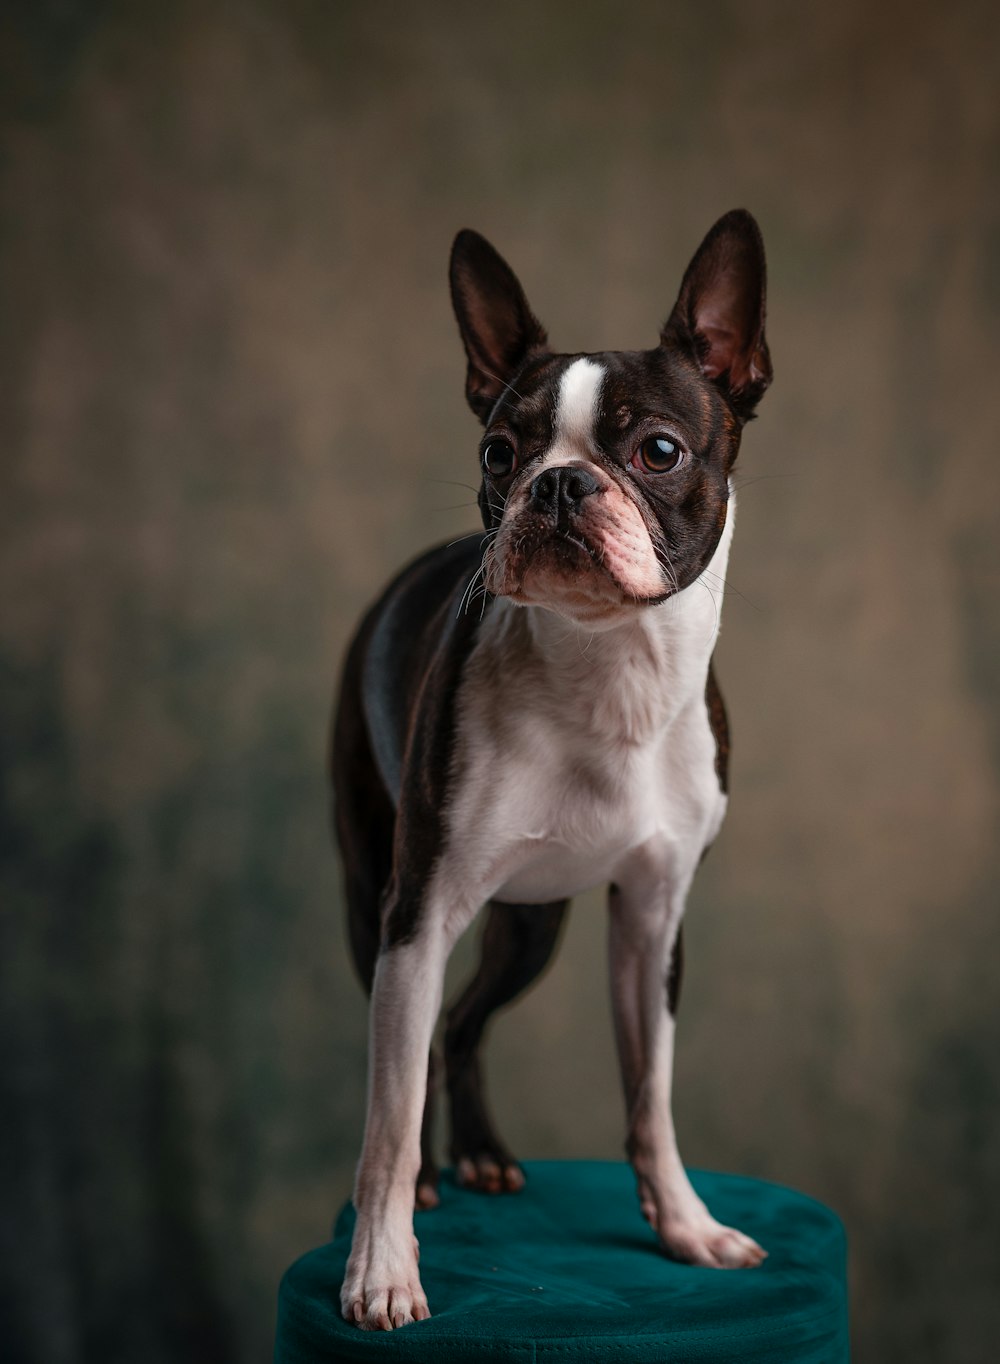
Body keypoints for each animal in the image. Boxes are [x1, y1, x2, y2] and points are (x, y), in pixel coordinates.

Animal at [327, 207, 774, 1325]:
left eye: (657, 450)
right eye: (499, 450)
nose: (559, 481)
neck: (611, 672)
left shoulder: (651, 919)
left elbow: (650, 1095)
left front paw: (685, 1227)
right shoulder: (417, 914)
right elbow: (387, 1122)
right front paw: (383, 1269)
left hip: (532, 925)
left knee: (466, 1022)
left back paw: (485, 1154)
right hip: (372, 895)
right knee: (422, 1038)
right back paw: (439, 1181)